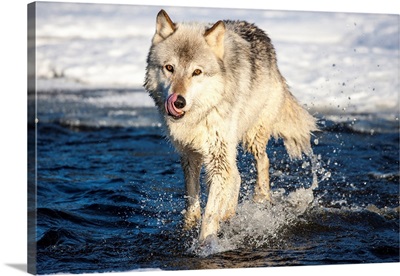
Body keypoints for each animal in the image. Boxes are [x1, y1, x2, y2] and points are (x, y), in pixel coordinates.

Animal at [144, 9, 316, 246]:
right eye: (169, 68)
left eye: (197, 72)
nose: (178, 101)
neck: (199, 116)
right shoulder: (189, 155)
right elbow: (192, 198)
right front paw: (189, 226)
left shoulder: (218, 157)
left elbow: (210, 212)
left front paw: (206, 244)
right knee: (237, 176)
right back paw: (229, 212)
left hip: (251, 137)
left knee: (263, 161)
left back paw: (260, 198)